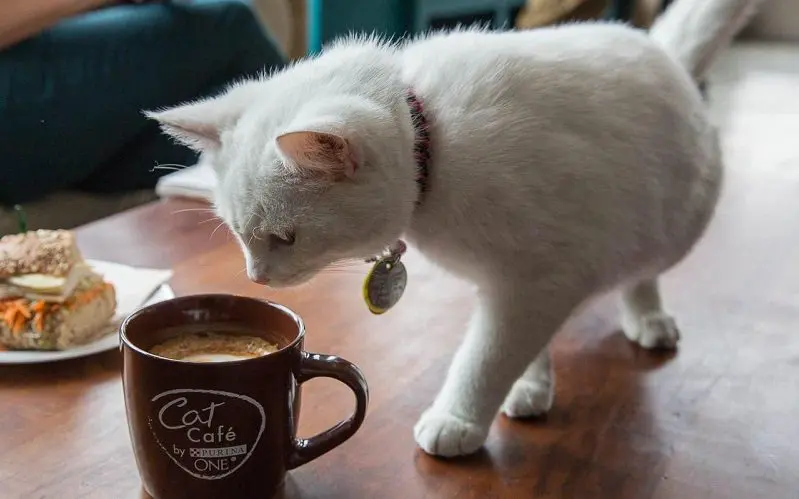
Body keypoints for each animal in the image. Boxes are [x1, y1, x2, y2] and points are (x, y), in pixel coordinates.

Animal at [150, 0, 768, 458]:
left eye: (285, 237)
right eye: (240, 235)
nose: (256, 276)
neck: (434, 140)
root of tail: (659, 49)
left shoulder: (537, 279)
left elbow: (487, 355)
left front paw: (460, 416)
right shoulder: (524, 284)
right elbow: (514, 345)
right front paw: (525, 383)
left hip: (668, 227)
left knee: (642, 275)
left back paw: (648, 317)